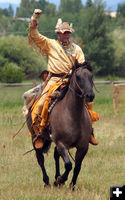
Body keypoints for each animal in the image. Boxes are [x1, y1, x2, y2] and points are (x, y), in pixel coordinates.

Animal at [26, 61, 94, 189]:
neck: (73, 115)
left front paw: (71, 186)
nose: (90, 96)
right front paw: (60, 180)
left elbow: (77, 167)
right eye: (78, 77)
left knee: (55, 155)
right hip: (35, 138)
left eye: (91, 76)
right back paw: (47, 182)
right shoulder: (62, 143)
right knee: (40, 158)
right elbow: (68, 164)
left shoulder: (83, 146)